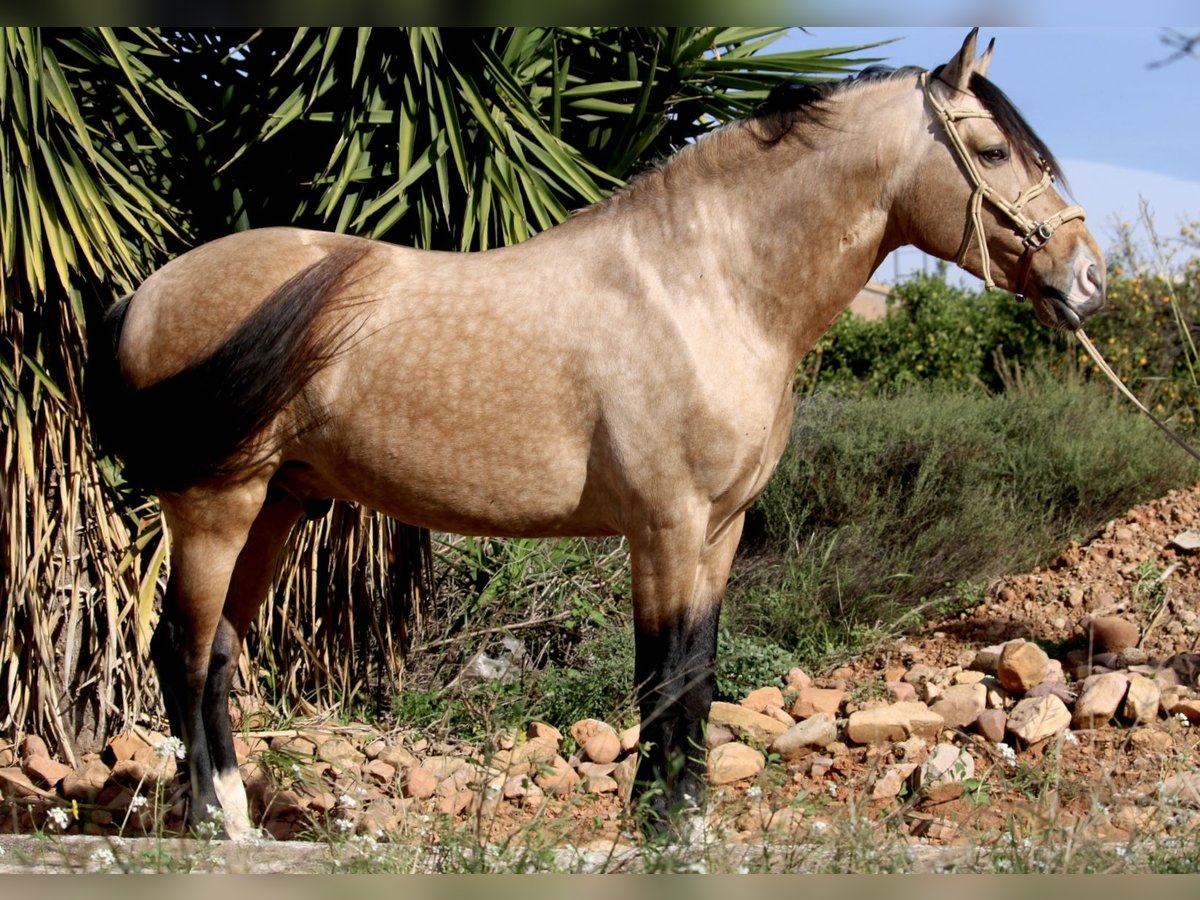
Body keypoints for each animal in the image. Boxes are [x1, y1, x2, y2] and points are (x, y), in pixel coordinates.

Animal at [84, 28, 1104, 844]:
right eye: (990, 149)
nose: (1087, 279)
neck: (704, 287)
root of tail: (143, 294)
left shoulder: (719, 530)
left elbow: (698, 672)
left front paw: (688, 822)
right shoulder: (664, 525)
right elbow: (663, 671)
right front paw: (661, 827)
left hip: (276, 504)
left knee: (220, 651)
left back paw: (235, 813)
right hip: (214, 504)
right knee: (181, 649)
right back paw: (212, 824)